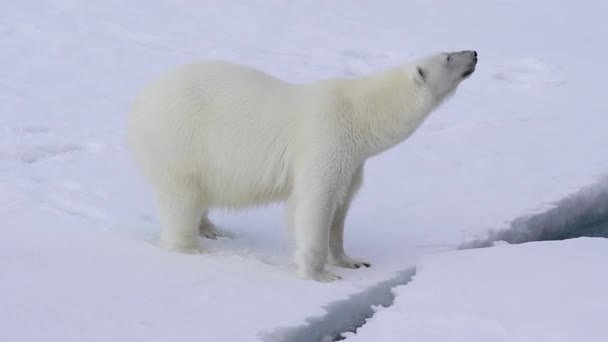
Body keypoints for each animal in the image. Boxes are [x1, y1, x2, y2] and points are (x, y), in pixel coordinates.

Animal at [128, 50, 478, 280]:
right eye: (447, 57)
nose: (473, 52)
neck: (360, 114)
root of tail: (138, 103)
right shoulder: (326, 141)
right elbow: (315, 204)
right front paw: (320, 275)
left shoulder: (352, 162)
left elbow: (341, 208)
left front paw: (352, 261)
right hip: (179, 139)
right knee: (181, 193)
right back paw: (191, 247)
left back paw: (212, 229)